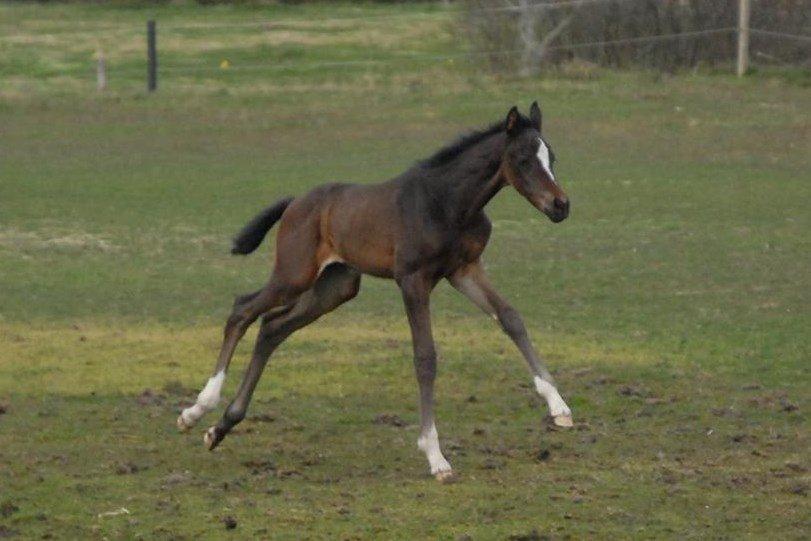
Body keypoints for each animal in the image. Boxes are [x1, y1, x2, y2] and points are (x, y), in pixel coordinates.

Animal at [179, 102, 572, 480]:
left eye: (551, 157)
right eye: (523, 159)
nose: (561, 205)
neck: (448, 202)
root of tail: (295, 203)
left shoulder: (464, 270)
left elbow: (510, 318)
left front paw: (559, 408)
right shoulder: (412, 278)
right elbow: (425, 356)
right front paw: (435, 455)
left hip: (336, 286)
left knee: (272, 328)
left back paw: (220, 428)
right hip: (294, 274)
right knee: (242, 310)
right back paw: (197, 409)